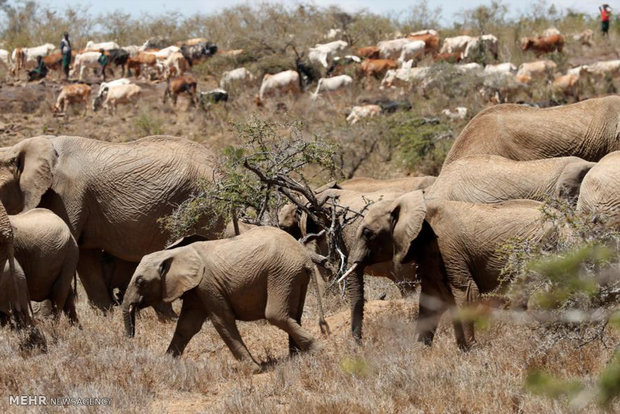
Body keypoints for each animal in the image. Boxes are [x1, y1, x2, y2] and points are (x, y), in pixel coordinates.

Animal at [118, 226, 326, 372]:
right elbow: (187, 325)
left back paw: (317, 350)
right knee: (294, 314)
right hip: (293, 277)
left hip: (281, 274)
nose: (132, 340)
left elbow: (221, 320)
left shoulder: (208, 284)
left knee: (276, 315)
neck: (175, 253)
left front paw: (254, 370)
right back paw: (296, 357)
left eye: (140, 281)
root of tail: (306, 258)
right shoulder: (196, 290)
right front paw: (166, 363)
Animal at [344, 192, 568, 348]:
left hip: (541, 247)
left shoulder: (448, 247)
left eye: (367, 233)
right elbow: (431, 301)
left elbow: (466, 291)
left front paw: (470, 350)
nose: (360, 344)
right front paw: (422, 350)